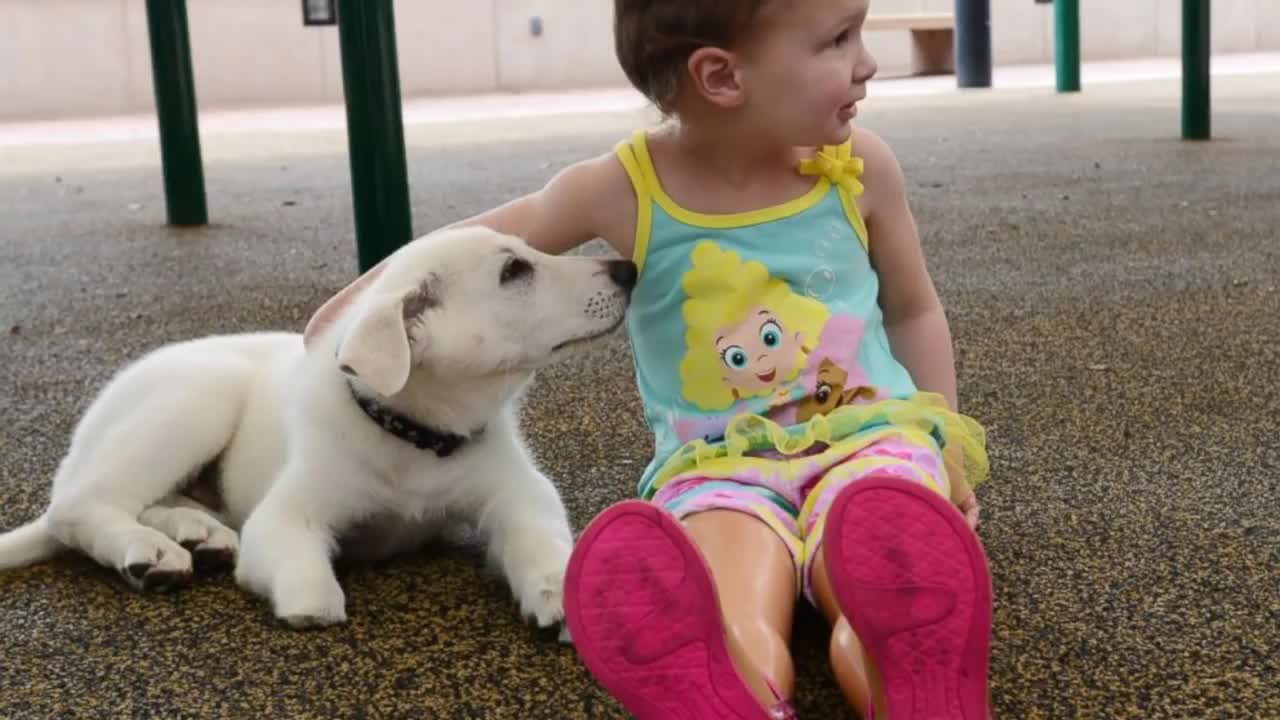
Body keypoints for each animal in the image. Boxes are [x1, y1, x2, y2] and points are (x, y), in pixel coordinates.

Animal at [0, 225, 637, 627]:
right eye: (514, 271)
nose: (627, 268)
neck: (416, 439)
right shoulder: (287, 514)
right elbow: (297, 559)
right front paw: (312, 601)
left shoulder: (521, 492)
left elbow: (540, 537)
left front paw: (556, 588)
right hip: (199, 396)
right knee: (77, 508)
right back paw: (148, 550)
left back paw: (196, 534)